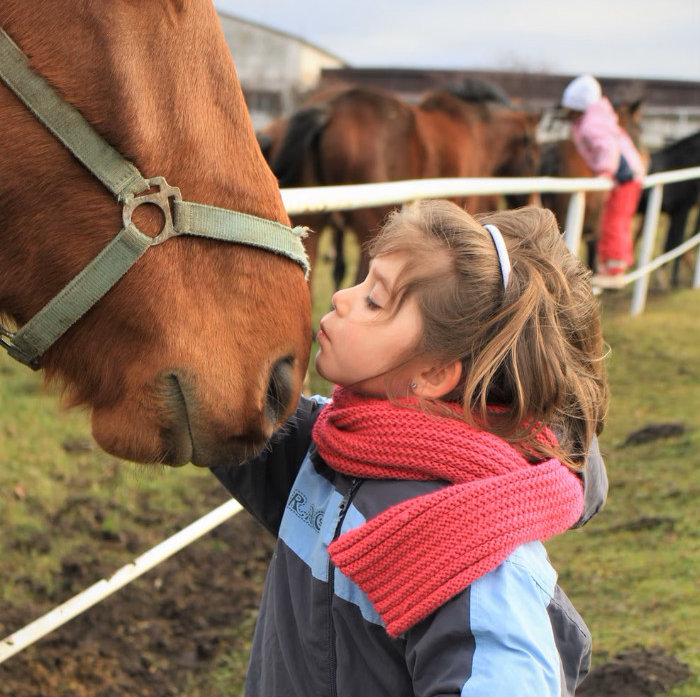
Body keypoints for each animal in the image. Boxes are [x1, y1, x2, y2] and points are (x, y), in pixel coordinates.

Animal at [262, 80, 540, 286]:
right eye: (534, 154)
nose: (531, 201)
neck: (477, 131)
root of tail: (329, 108)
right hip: (371, 228)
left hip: (313, 226)